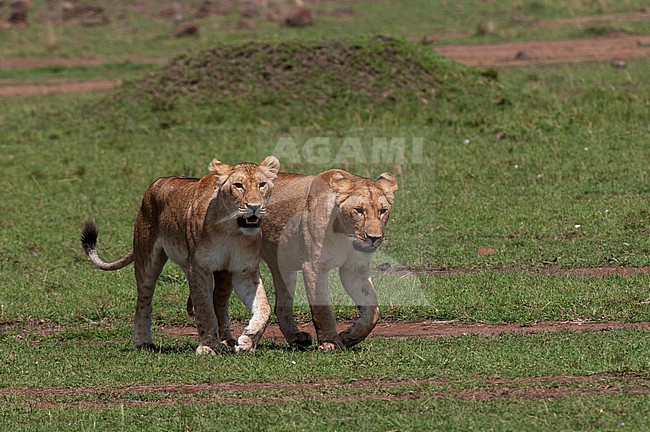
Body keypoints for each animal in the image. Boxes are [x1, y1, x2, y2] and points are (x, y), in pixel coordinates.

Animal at [81, 156, 280, 355]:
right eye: (238, 185)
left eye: (262, 184)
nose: (254, 207)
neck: (231, 229)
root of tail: (157, 183)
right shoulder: (198, 268)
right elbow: (204, 309)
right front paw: (208, 346)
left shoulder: (244, 270)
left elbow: (264, 307)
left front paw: (248, 339)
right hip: (147, 260)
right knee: (143, 303)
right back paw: (143, 342)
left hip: (219, 272)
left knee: (219, 302)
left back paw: (227, 340)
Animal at [188, 169, 398, 351]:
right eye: (359, 210)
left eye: (382, 211)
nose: (374, 238)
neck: (344, 234)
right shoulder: (314, 266)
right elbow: (322, 309)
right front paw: (330, 343)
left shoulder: (354, 269)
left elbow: (372, 311)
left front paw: (349, 336)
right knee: (218, 301)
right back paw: (226, 341)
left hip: (283, 266)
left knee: (281, 306)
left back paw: (296, 338)